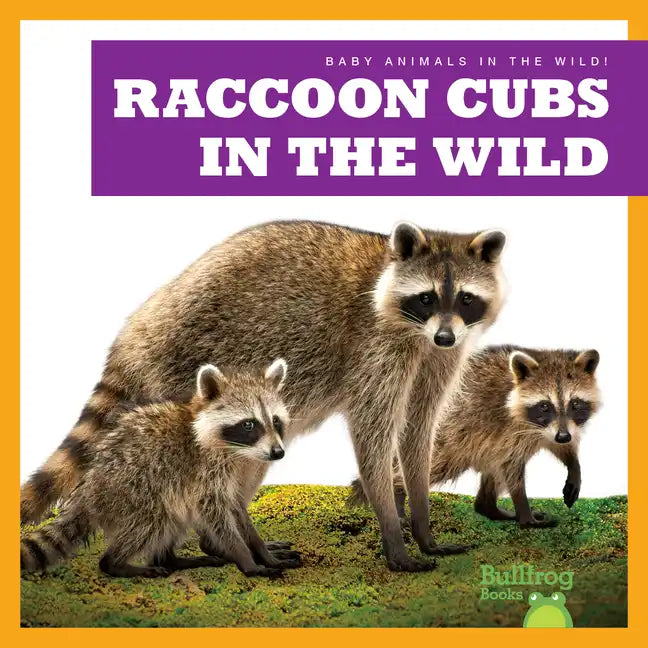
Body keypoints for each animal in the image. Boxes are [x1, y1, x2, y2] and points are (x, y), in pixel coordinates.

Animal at [21, 360, 302, 578]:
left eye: (275, 421)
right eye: (248, 424)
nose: (278, 453)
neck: (236, 451)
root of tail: (88, 490)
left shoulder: (235, 476)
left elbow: (237, 510)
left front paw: (261, 550)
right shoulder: (204, 472)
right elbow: (215, 514)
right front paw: (245, 558)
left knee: (174, 518)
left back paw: (170, 559)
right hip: (131, 489)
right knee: (153, 520)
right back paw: (117, 563)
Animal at [349, 346, 600, 528]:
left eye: (575, 404)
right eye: (544, 406)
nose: (563, 436)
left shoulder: (550, 431)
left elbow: (559, 447)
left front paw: (574, 466)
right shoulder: (510, 430)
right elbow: (513, 471)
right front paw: (524, 511)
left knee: (492, 468)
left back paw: (488, 507)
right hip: (449, 436)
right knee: (426, 466)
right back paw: (398, 493)